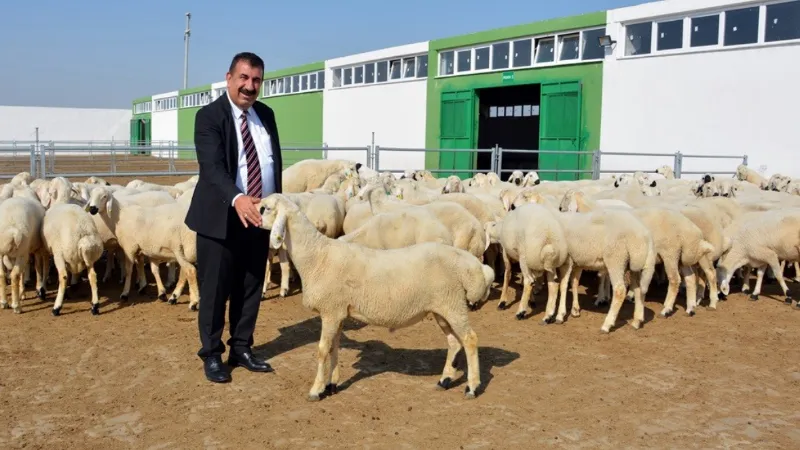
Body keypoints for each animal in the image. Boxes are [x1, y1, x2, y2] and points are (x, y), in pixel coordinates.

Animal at [260, 193, 490, 400]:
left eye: (266, 208)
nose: (256, 218)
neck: (317, 255)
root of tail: (467, 263)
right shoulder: (338, 313)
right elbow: (334, 347)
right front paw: (331, 385)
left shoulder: (330, 311)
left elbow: (322, 350)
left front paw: (316, 390)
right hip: (443, 307)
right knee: (454, 342)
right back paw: (445, 380)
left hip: (453, 306)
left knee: (470, 339)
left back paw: (472, 387)